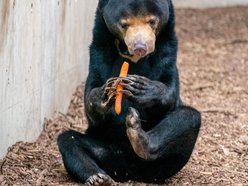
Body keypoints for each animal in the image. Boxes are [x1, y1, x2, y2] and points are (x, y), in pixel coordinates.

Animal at [57, 0, 202, 185]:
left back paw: (139, 138)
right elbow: (91, 94)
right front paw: (104, 93)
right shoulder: (99, 49)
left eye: (152, 21)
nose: (140, 47)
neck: (131, 56)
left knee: (188, 117)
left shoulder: (168, 49)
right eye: (124, 24)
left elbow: (170, 90)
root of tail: (131, 172)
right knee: (69, 140)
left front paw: (141, 87)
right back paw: (97, 178)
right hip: (106, 150)